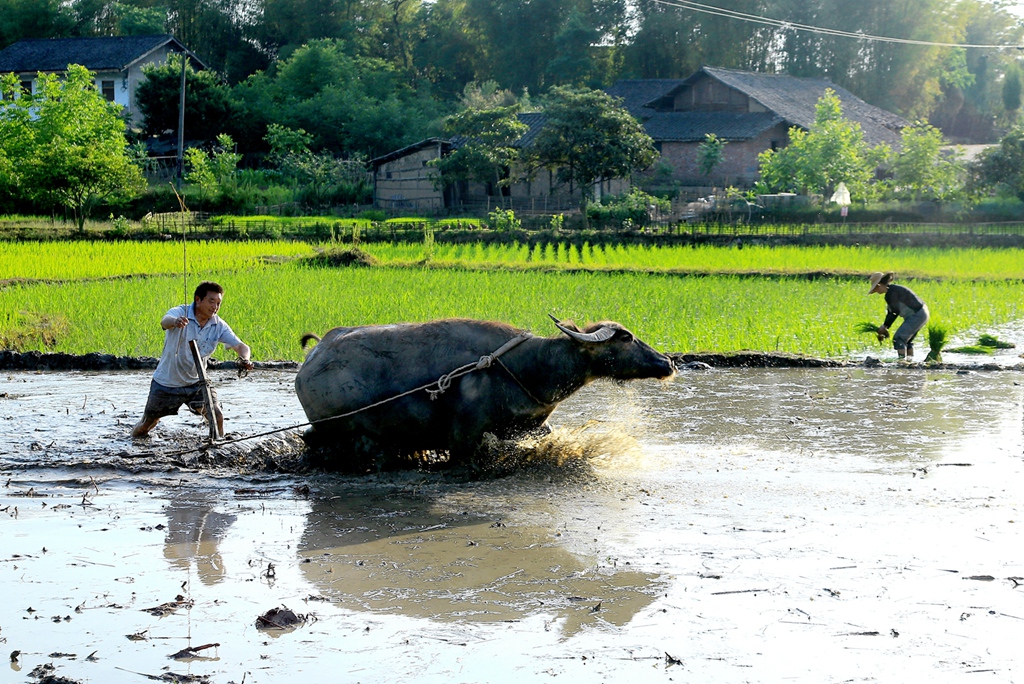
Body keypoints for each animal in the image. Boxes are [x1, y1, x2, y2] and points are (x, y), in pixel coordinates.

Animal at [292, 317, 675, 471]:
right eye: (626, 337)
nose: (668, 362)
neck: (530, 367)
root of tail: (314, 355)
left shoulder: (526, 424)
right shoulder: (464, 436)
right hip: (347, 429)